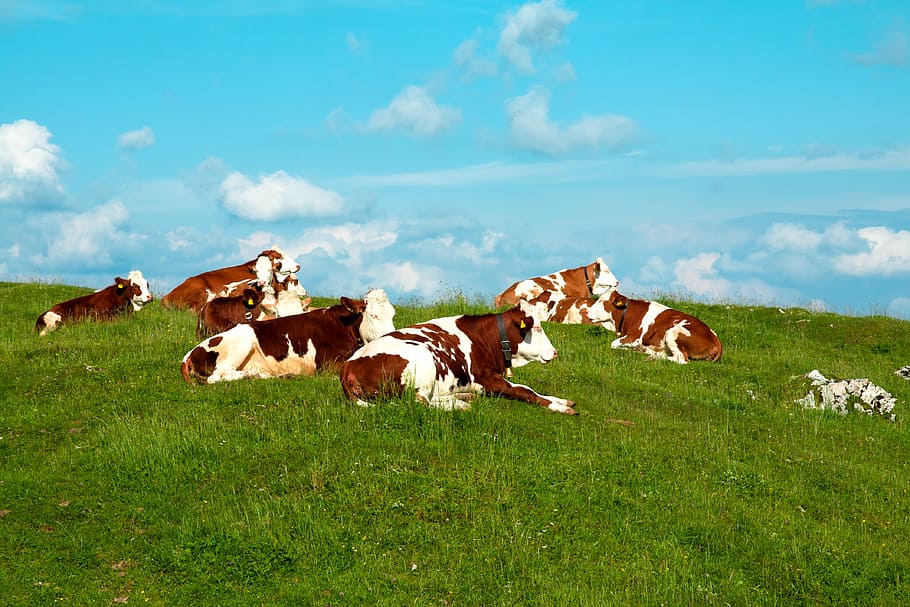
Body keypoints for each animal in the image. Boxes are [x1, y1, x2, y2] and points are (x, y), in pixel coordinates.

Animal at [181, 288, 395, 384]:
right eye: (373, 315)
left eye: (393, 314)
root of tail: (189, 353)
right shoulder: (327, 364)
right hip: (241, 343)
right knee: (217, 376)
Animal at [339, 300, 577, 414]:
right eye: (536, 328)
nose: (554, 352)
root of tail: (349, 364)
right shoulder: (486, 379)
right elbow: (524, 391)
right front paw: (559, 407)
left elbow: (527, 388)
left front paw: (561, 400)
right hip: (423, 360)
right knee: (418, 402)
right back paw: (460, 405)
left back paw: (462, 397)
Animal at [586, 291, 722, 364]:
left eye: (602, 301)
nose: (586, 311)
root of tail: (716, 339)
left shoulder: (634, 337)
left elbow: (613, 344)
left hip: (673, 333)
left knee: (681, 359)